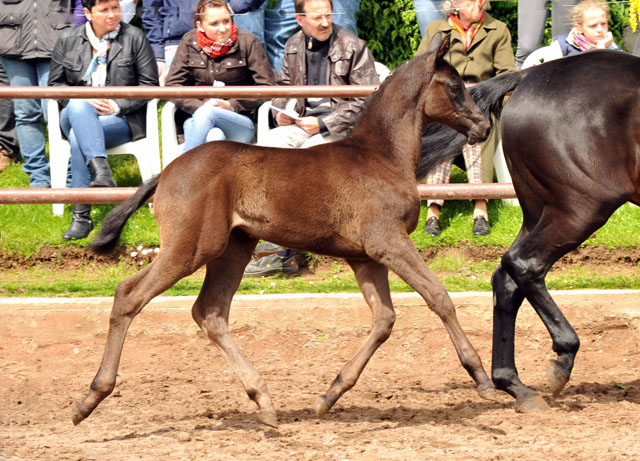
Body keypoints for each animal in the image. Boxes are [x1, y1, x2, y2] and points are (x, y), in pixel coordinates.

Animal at [74, 33, 496, 428]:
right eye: (455, 86)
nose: (483, 126)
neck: (382, 157)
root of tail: (165, 174)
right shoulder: (388, 243)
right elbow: (438, 296)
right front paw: (480, 375)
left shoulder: (364, 257)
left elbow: (384, 320)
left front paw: (329, 395)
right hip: (191, 248)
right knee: (130, 295)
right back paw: (89, 399)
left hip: (233, 248)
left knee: (210, 312)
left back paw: (263, 400)